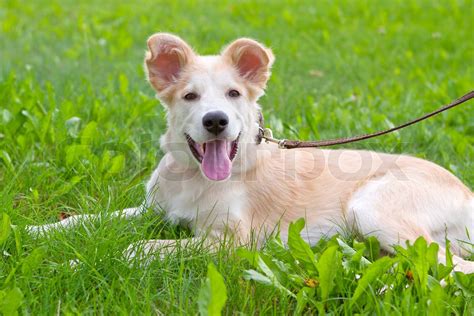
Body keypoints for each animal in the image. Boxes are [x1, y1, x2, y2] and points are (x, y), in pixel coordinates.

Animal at [26, 32, 474, 274]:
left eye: (233, 94)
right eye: (190, 96)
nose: (216, 121)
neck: (193, 179)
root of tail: (467, 192)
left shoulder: (232, 242)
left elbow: (140, 248)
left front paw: (81, 263)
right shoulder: (152, 210)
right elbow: (87, 219)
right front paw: (33, 232)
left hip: (372, 208)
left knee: (453, 268)